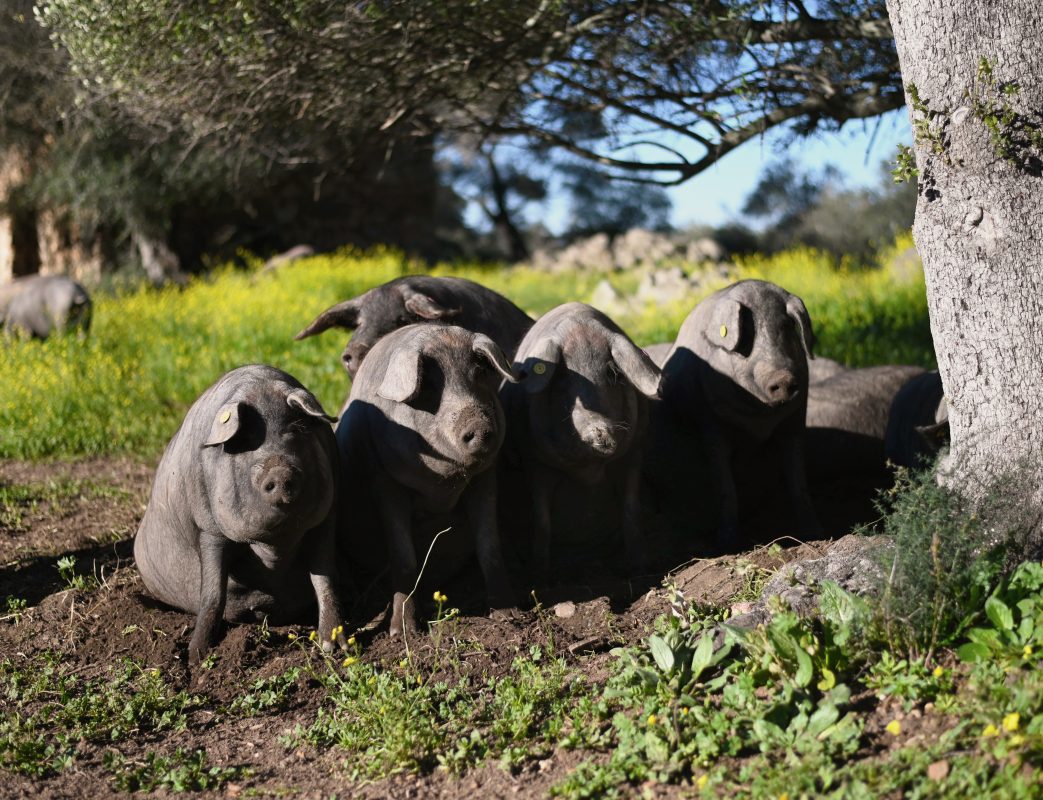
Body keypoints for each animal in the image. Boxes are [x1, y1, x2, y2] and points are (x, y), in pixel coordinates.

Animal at [132, 365, 346, 663]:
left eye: (297, 429)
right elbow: (213, 591)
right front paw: (196, 657)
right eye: (246, 440)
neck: (274, 549)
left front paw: (333, 648)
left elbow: (325, 578)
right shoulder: (209, 527)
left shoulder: (326, 517)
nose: (279, 471)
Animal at [335, 323, 519, 638]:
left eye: (478, 375)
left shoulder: (485, 476)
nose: (478, 425)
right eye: (430, 385)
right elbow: (403, 556)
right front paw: (402, 634)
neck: (442, 485)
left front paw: (509, 615)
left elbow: (489, 544)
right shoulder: (384, 479)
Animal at [498, 304, 659, 579]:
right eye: (562, 381)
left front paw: (642, 568)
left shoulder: (635, 450)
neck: (589, 469)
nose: (599, 429)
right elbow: (541, 518)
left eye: (612, 374)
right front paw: (541, 577)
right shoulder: (535, 461)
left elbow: (631, 507)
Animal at [659, 279, 821, 546]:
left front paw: (814, 531)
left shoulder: (796, 418)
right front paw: (727, 542)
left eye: (786, 328)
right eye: (747, 335)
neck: (758, 423)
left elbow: (798, 481)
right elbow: (725, 488)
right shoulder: (710, 423)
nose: (782, 377)